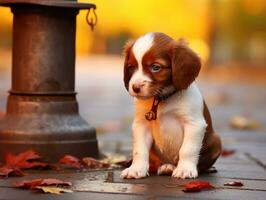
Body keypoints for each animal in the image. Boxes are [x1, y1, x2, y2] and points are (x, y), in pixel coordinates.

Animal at [121, 32, 221, 179]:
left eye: (156, 67)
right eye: (131, 67)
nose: (135, 87)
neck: (160, 99)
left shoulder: (194, 124)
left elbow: (187, 149)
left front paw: (185, 169)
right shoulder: (141, 125)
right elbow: (139, 150)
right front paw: (136, 169)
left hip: (216, 141)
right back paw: (165, 166)